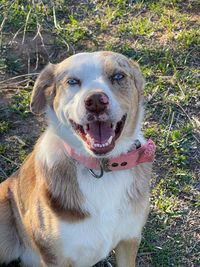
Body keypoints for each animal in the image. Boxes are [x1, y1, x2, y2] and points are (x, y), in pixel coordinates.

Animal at [0, 51, 155, 266]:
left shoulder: (129, 239)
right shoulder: (55, 256)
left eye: (118, 76)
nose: (97, 101)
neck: (100, 168)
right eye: (72, 81)